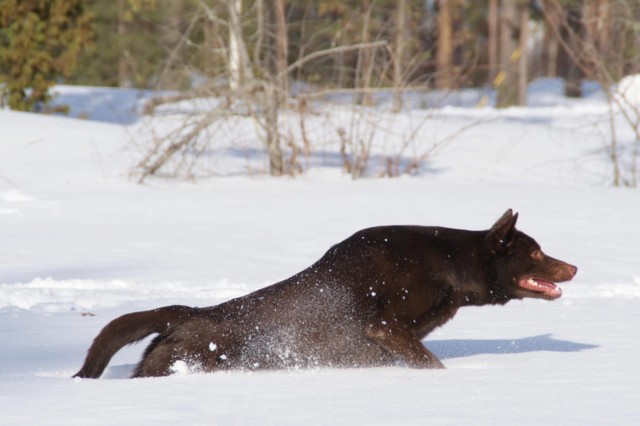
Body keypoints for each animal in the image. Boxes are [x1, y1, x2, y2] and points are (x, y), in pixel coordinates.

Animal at [74, 209, 576, 376]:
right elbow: (430, 364)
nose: (573, 266)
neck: (448, 265)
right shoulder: (385, 327)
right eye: (535, 253)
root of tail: (188, 313)